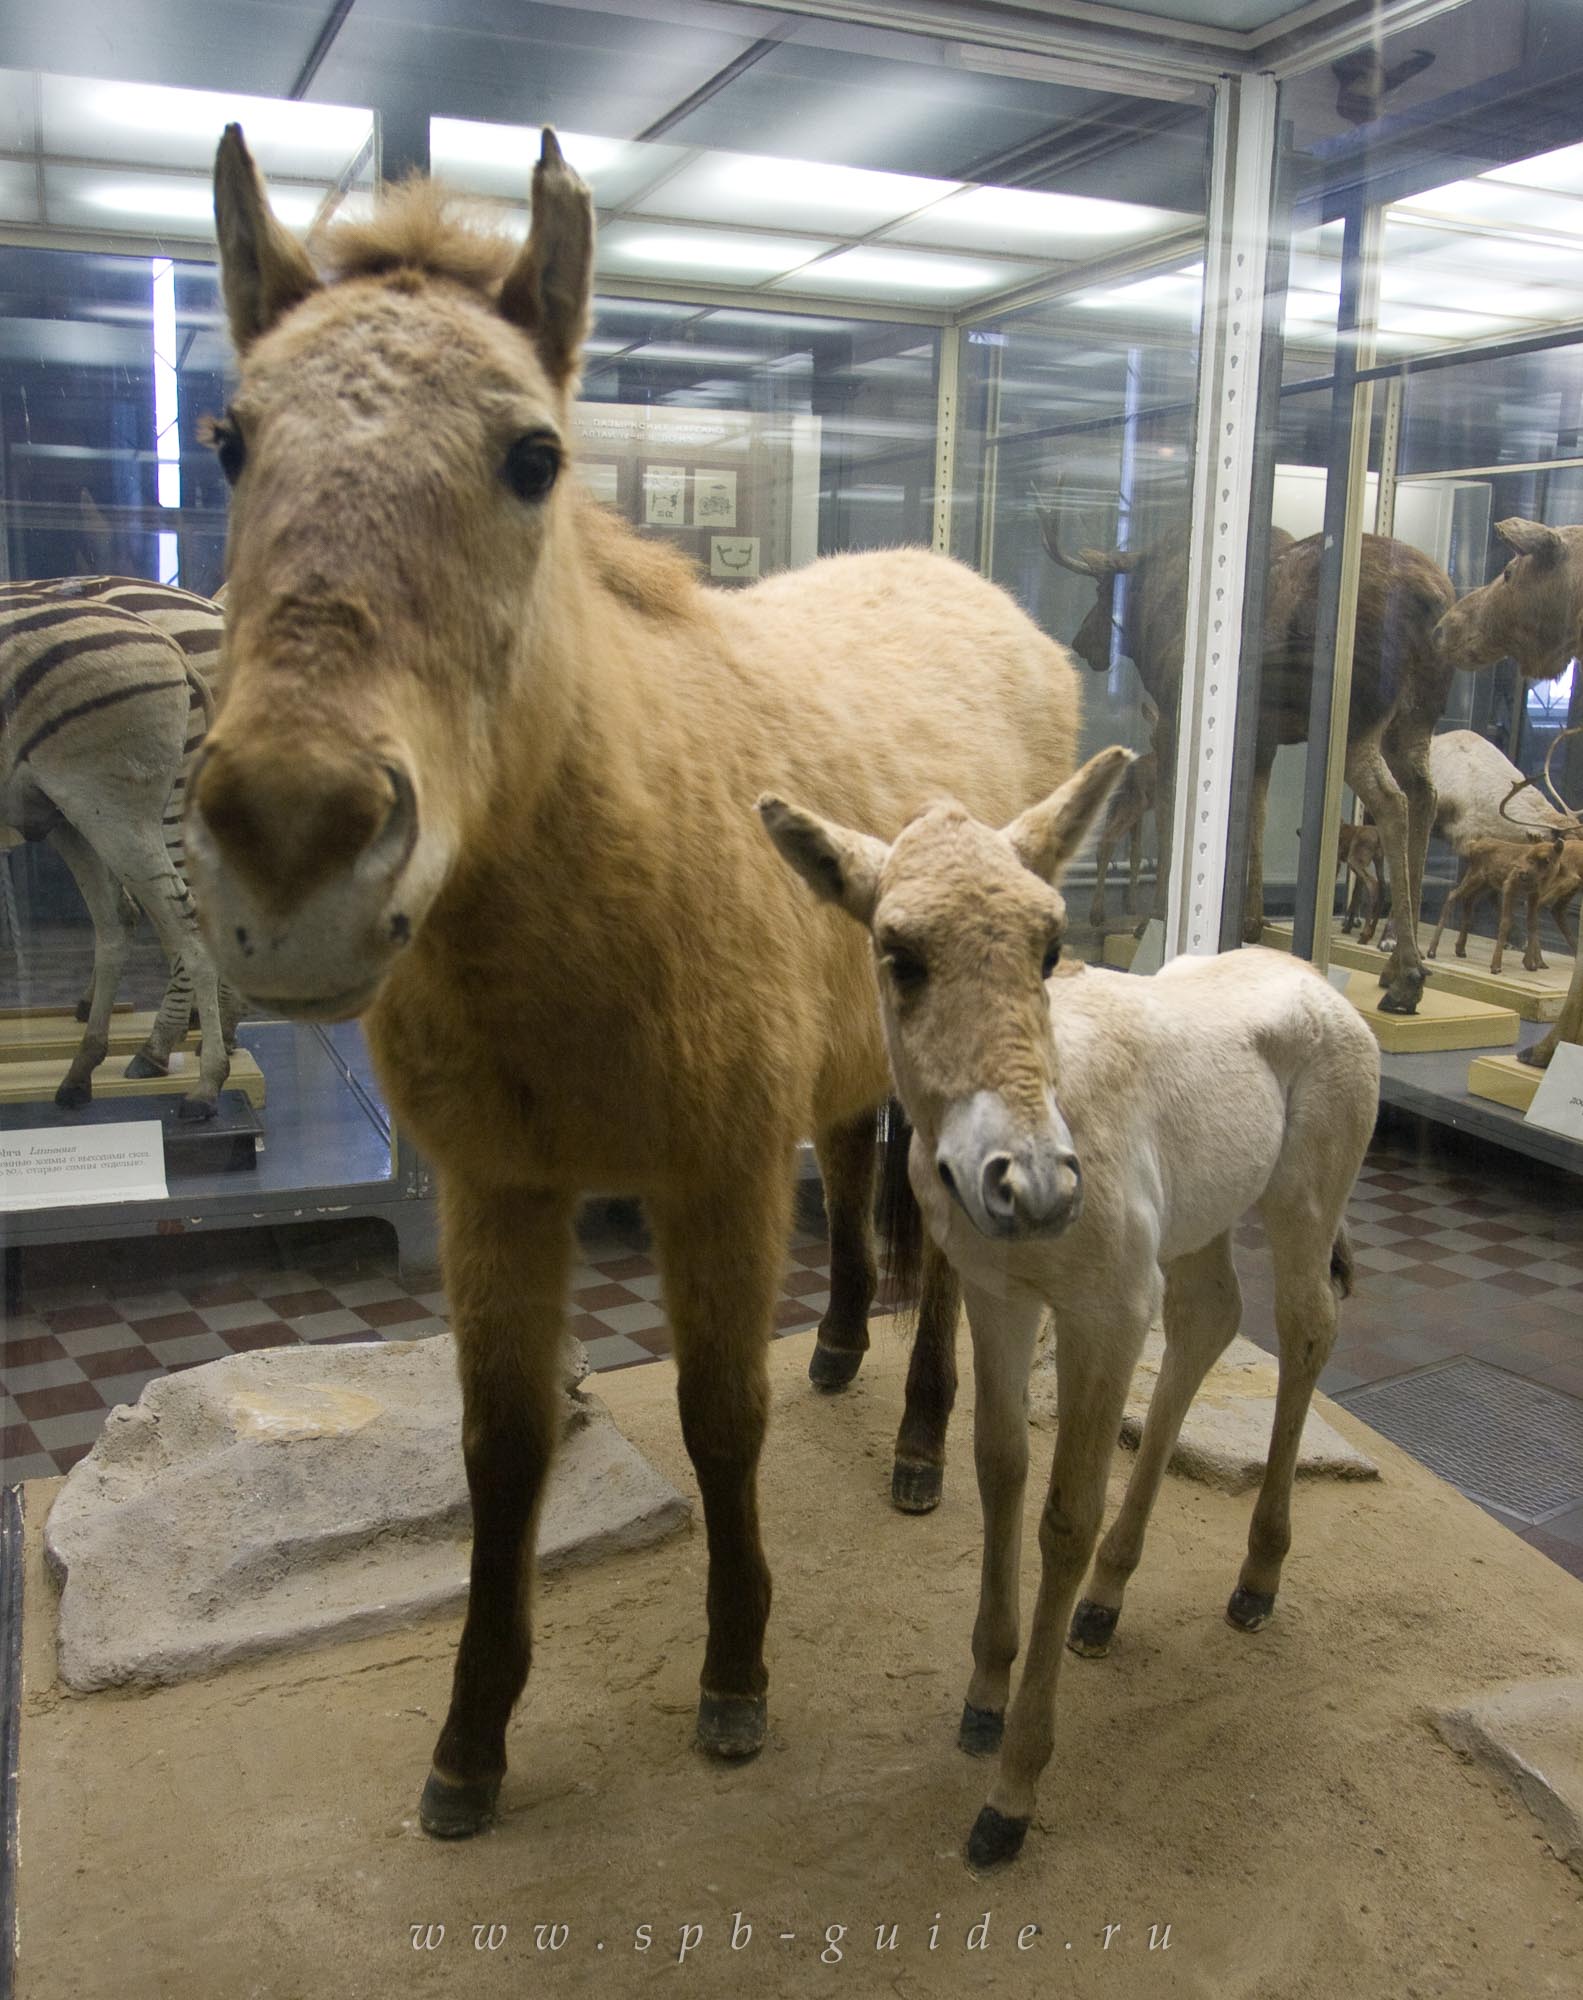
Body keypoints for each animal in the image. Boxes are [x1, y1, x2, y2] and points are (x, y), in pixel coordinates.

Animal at [186, 126, 1084, 1840]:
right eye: (225, 439)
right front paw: (471, 1735)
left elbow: (718, 1423)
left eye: (533, 456)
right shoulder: (498, 1188)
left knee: (942, 1249)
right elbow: (499, 1446)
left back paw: (918, 1435)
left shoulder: (709, 1178)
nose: (292, 835)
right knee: (855, 1167)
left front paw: (735, 1673)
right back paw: (842, 1348)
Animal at [758, 747, 1379, 1868]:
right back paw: (1104, 1602)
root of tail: (1319, 983)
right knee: (1210, 1320)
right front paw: (980, 1697)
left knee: (1307, 1331)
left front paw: (1011, 1789)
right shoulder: (1001, 1297)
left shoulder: (1103, 1311)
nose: (1033, 1184)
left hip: (1304, 1205)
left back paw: (1255, 1580)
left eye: (1049, 946)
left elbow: (1062, 1512)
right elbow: (999, 1470)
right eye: (897, 952)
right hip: (1196, 1231)